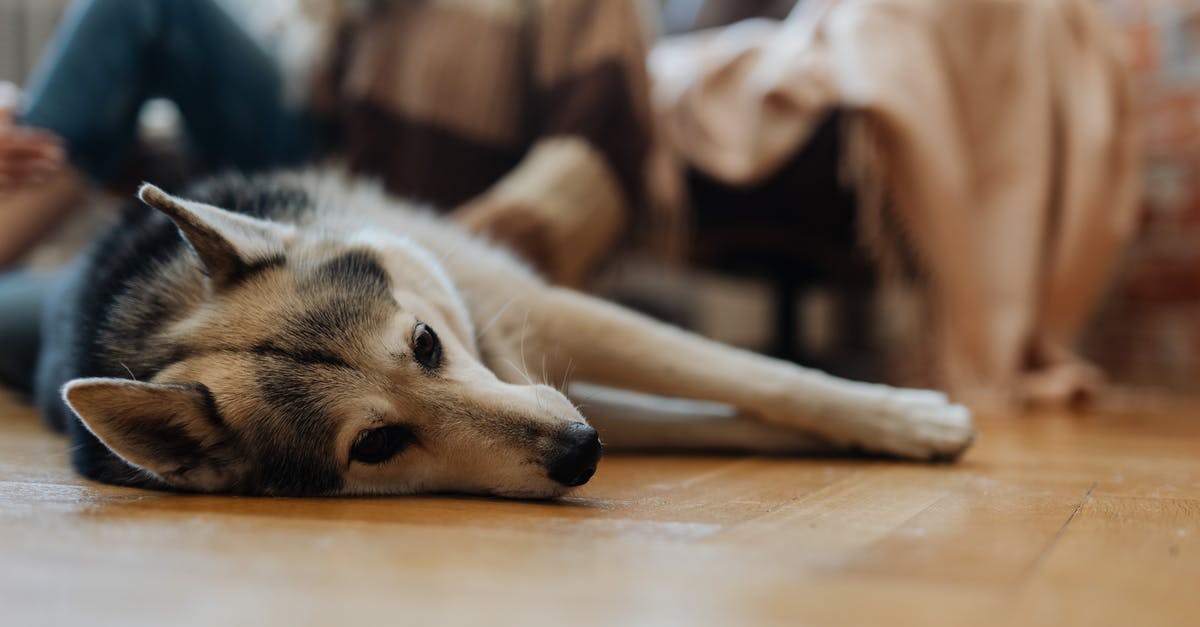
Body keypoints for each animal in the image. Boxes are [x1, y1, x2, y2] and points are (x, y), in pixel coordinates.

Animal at [35, 168, 974, 494]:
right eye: (375, 445)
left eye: (425, 343)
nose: (583, 452)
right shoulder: (559, 392)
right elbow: (728, 412)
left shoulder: (546, 320)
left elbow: (754, 375)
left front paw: (904, 415)